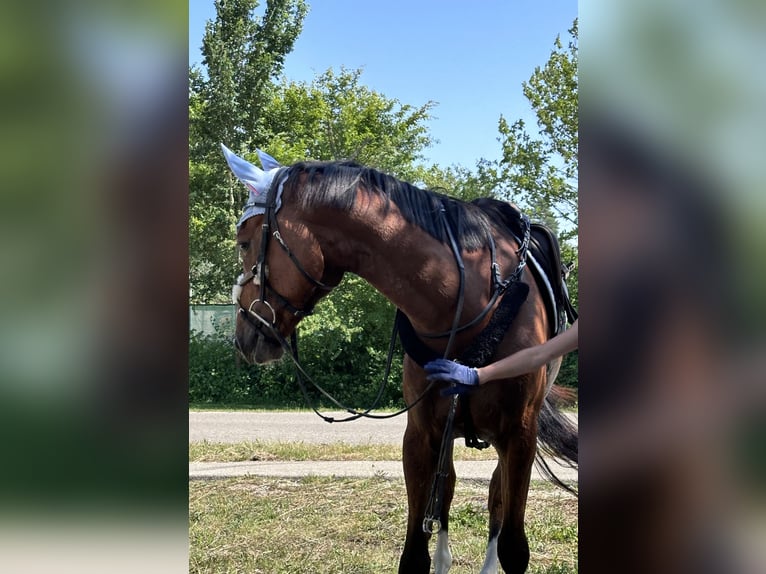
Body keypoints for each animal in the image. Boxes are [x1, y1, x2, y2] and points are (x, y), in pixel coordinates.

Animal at [225, 147, 580, 574]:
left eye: (244, 243)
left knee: (494, 498)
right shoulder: (421, 435)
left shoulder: (519, 435)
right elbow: (416, 548)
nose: (243, 336)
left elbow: (513, 546)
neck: (467, 299)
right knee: (445, 495)